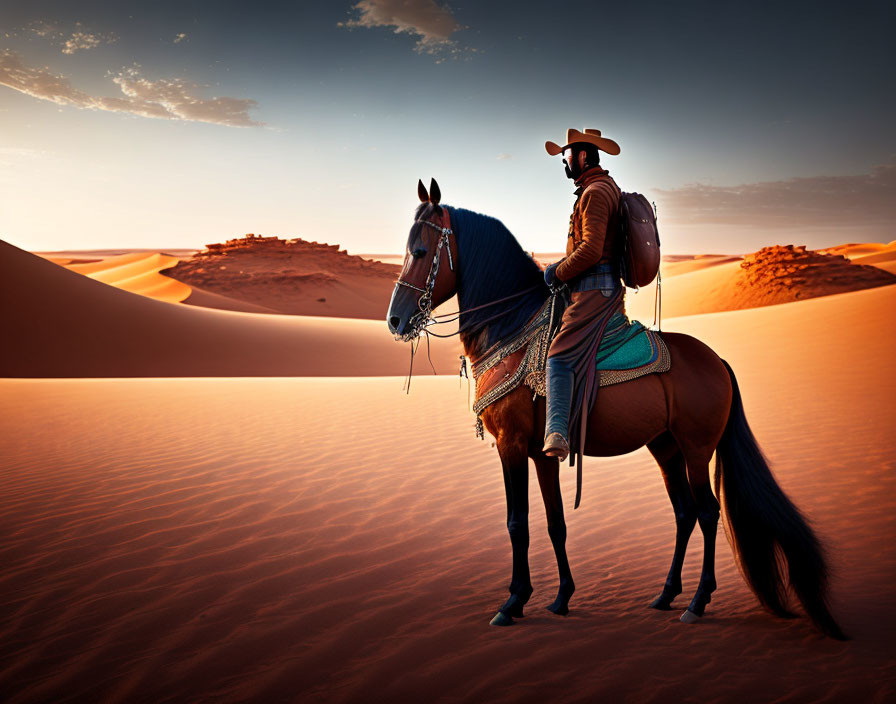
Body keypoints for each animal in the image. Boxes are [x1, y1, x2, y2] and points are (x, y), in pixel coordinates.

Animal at [386, 180, 848, 640]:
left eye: (421, 252)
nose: (394, 320)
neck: (508, 328)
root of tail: (718, 361)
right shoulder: (541, 454)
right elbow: (555, 521)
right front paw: (561, 597)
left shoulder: (511, 444)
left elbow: (517, 523)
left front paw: (513, 601)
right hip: (665, 447)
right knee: (684, 513)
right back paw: (666, 594)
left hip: (697, 450)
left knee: (707, 512)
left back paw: (697, 603)